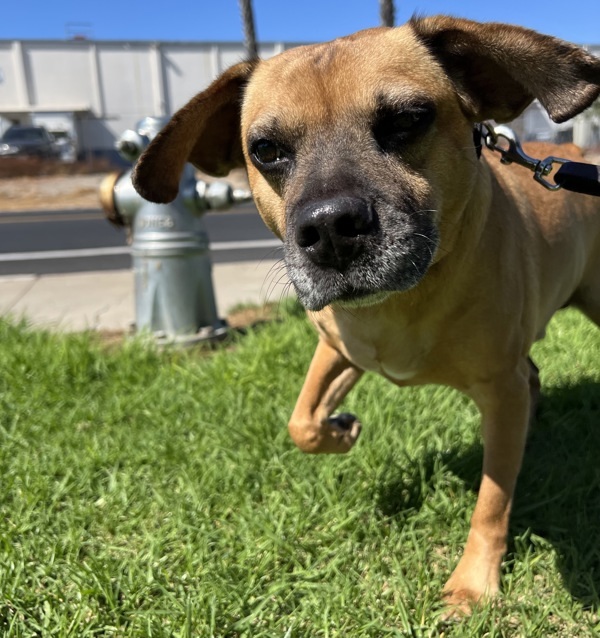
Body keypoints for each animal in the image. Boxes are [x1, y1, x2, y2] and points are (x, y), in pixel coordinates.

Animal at [132, 17, 600, 612]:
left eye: (406, 120)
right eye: (265, 149)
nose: (329, 228)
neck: (401, 302)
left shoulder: (499, 386)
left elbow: (492, 500)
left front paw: (474, 582)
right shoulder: (339, 348)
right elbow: (301, 423)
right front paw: (339, 429)